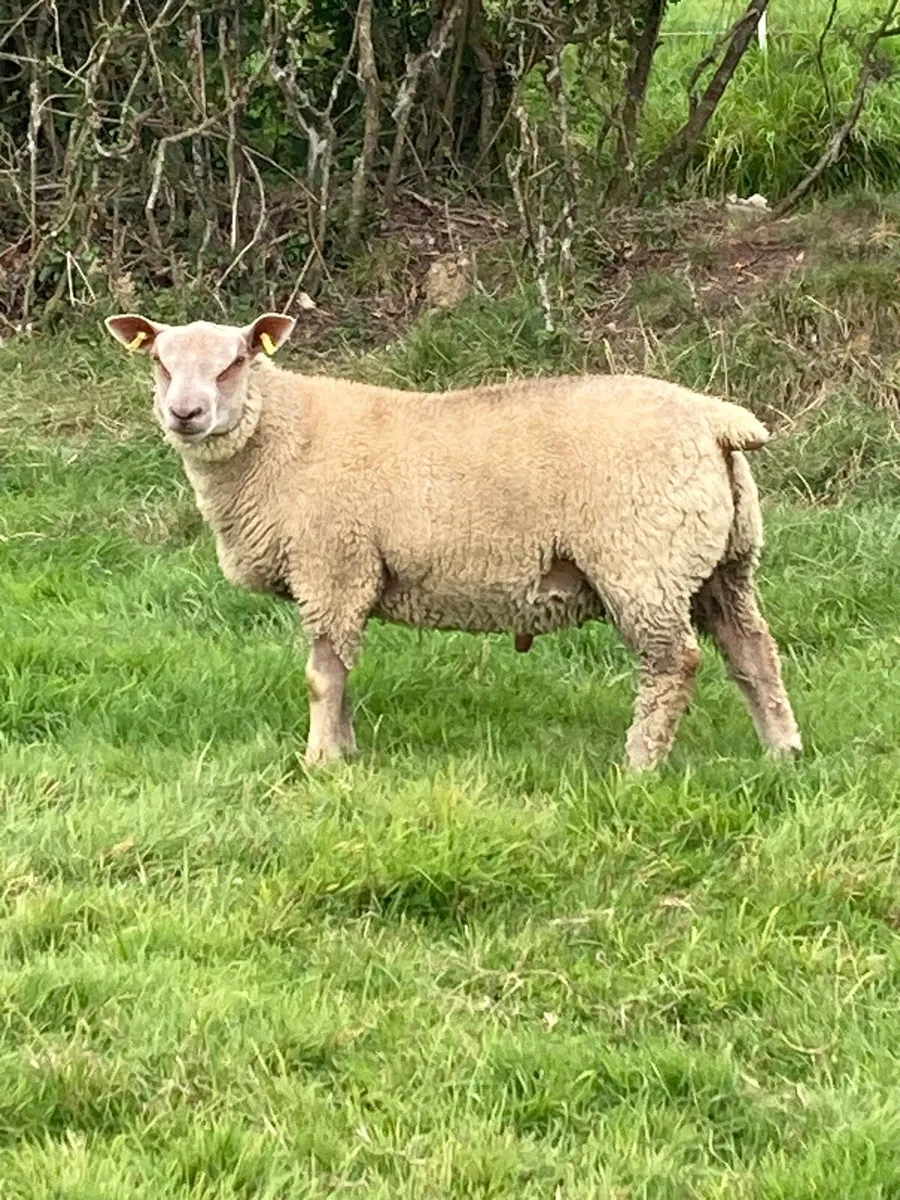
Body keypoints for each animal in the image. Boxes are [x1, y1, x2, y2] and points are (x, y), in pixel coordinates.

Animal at [104, 311, 803, 770]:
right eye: (159, 362)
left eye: (235, 362)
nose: (185, 414)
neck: (280, 436)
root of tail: (716, 420)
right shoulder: (345, 580)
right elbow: (344, 673)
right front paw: (347, 749)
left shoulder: (334, 567)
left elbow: (323, 677)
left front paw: (322, 760)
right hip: (724, 561)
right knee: (753, 651)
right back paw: (783, 751)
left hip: (642, 559)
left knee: (673, 662)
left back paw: (639, 764)